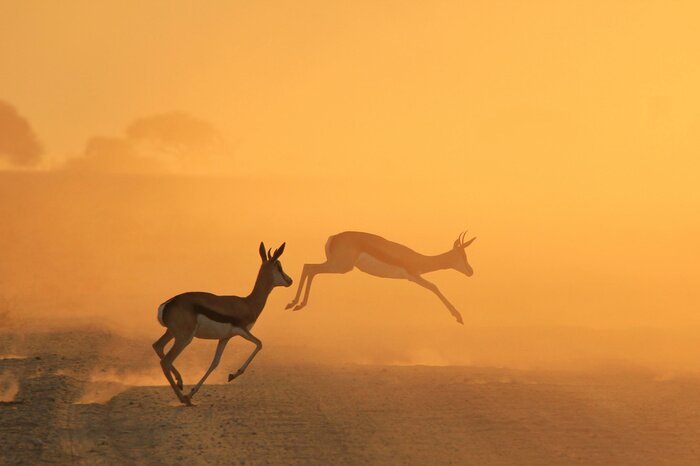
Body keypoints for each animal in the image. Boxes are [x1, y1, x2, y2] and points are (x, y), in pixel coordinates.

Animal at [153, 242, 292, 406]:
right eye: (279, 267)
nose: (290, 280)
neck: (247, 303)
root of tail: (167, 304)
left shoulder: (225, 338)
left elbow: (215, 363)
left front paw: (192, 392)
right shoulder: (242, 331)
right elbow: (259, 344)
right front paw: (233, 375)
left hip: (171, 333)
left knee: (157, 346)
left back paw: (181, 384)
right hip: (184, 338)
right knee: (165, 361)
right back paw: (184, 399)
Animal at [285, 231, 476, 324]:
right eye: (463, 255)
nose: (471, 271)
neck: (418, 258)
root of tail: (334, 238)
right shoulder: (414, 276)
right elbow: (434, 287)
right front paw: (458, 317)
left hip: (336, 265)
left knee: (308, 267)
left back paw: (294, 304)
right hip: (340, 267)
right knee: (310, 268)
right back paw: (296, 304)